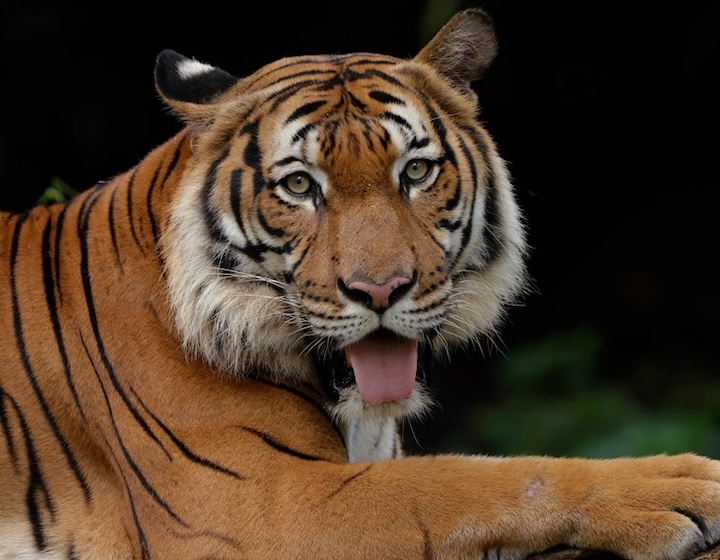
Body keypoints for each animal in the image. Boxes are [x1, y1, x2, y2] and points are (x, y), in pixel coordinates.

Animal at [1, 8, 720, 560]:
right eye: (299, 185)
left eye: (417, 172)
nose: (381, 291)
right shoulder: (258, 504)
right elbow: (476, 481)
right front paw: (686, 483)